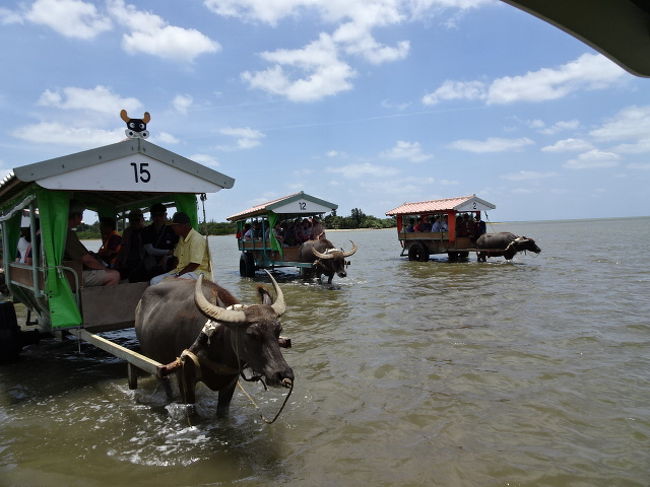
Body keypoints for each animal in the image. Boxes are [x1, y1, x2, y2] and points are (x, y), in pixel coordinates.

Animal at [134, 272, 292, 418]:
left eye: (278, 330)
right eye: (251, 334)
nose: (284, 374)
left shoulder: (230, 382)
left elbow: (222, 413)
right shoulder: (184, 377)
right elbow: (191, 411)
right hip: (156, 364)